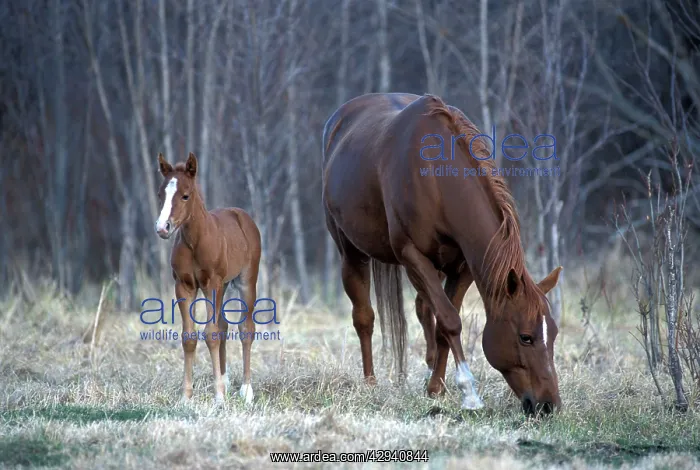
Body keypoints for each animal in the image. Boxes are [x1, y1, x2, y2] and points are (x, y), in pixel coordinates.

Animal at [154, 152, 262, 405]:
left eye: (185, 195)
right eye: (161, 194)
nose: (163, 228)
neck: (196, 241)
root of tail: (241, 214)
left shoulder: (211, 284)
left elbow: (211, 334)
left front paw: (219, 398)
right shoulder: (184, 286)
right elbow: (190, 336)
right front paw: (186, 397)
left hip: (246, 282)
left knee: (245, 328)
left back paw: (246, 390)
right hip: (224, 285)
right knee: (223, 325)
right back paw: (224, 379)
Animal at [321, 93, 563, 415]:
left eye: (555, 333)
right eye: (525, 337)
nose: (549, 406)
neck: (435, 178)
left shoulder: (463, 267)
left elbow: (442, 325)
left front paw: (436, 388)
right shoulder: (412, 256)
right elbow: (450, 321)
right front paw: (469, 393)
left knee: (424, 310)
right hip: (351, 253)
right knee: (364, 317)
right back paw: (370, 383)